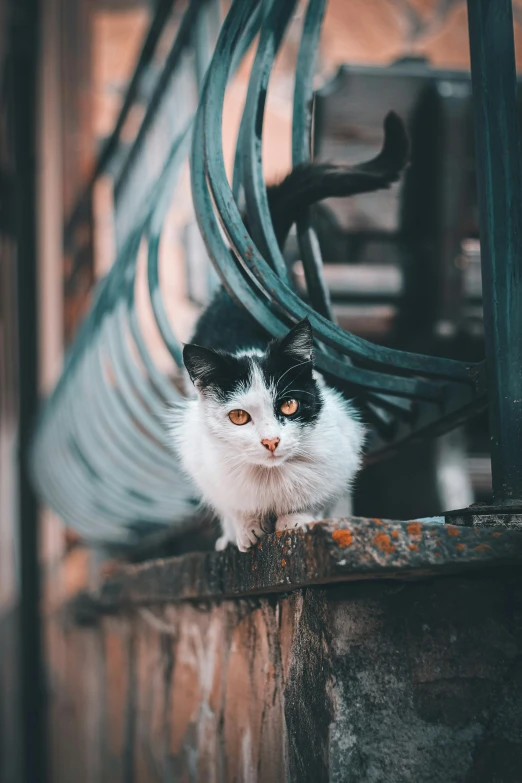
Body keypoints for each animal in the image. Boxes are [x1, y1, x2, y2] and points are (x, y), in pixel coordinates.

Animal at [169, 113, 408, 552]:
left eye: (291, 406)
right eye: (239, 417)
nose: (271, 442)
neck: (271, 481)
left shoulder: (345, 443)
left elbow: (318, 498)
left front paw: (296, 520)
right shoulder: (202, 458)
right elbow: (231, 506)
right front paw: (244, 530)